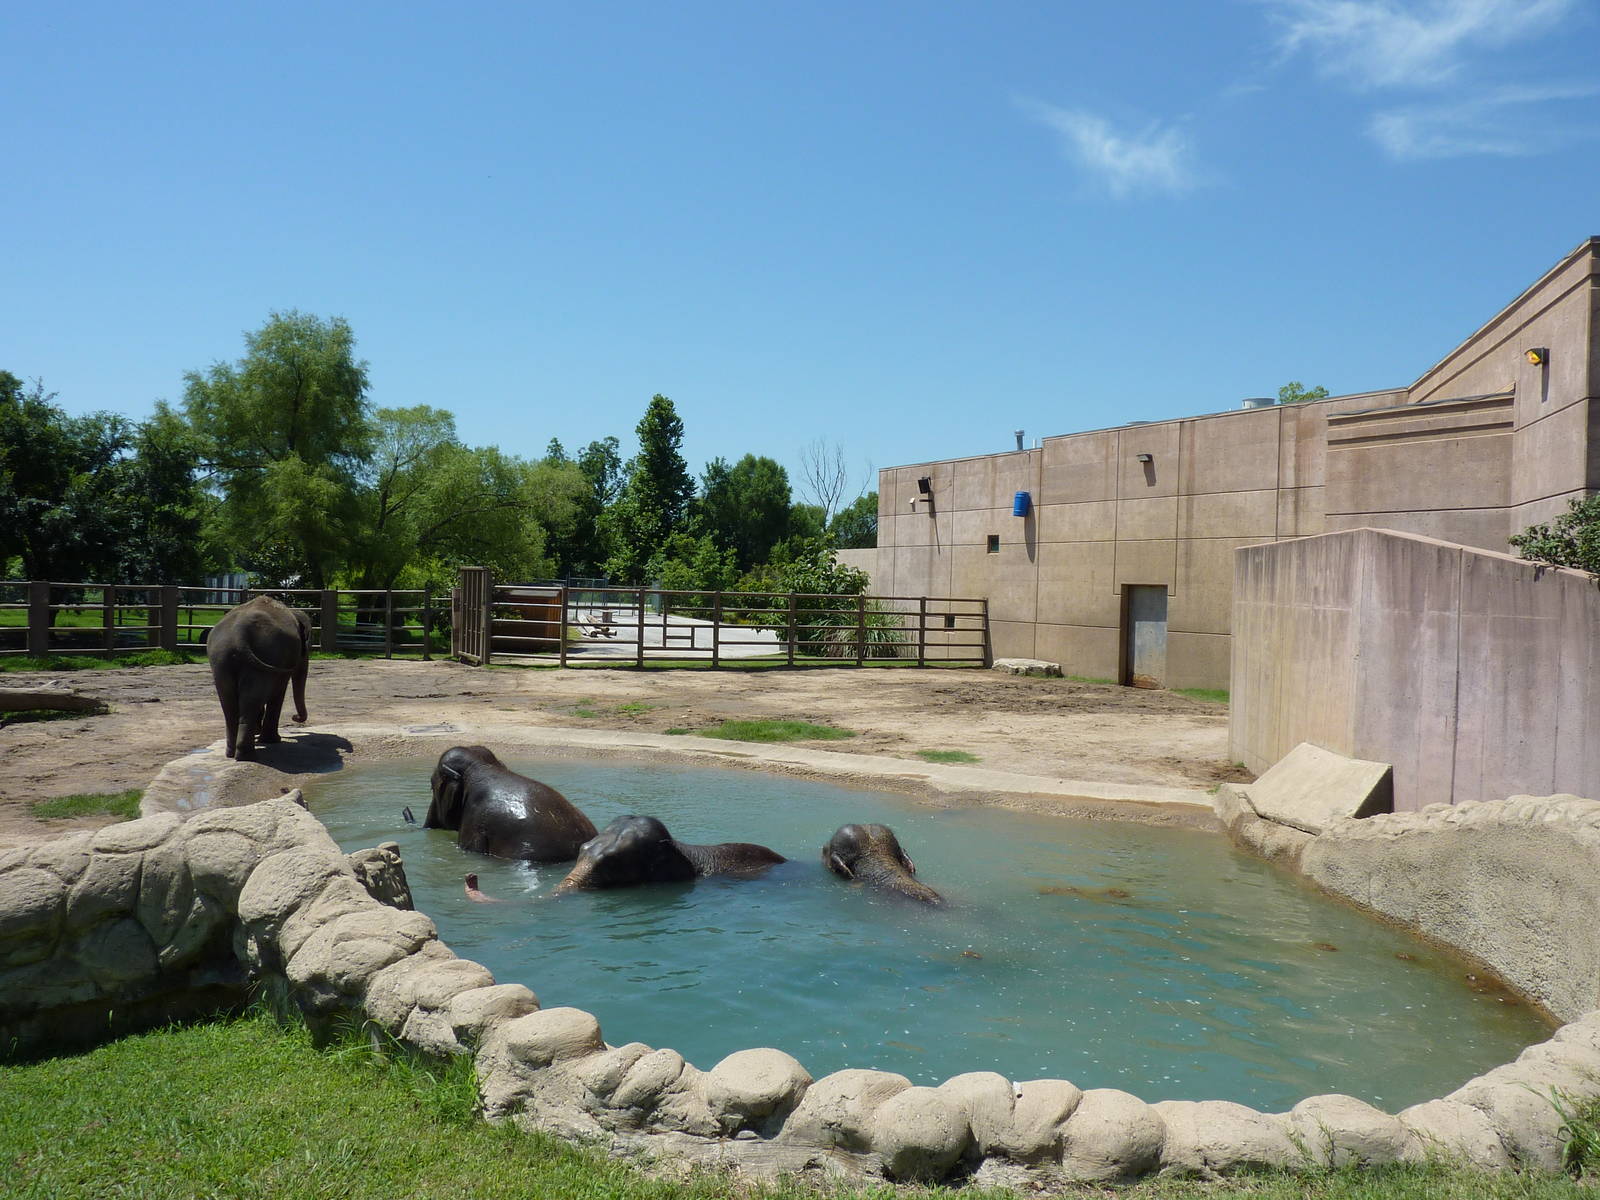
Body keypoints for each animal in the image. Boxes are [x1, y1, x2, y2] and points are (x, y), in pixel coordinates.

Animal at [206, 595, 313, 761]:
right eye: (305, 648)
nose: (295, 717)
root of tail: (239, 634)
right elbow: (278, 692)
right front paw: (273, 740)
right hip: (265, 653)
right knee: (252, 699)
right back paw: (247, 756)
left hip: (220, 659)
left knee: (230, 702)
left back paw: (232, 754)